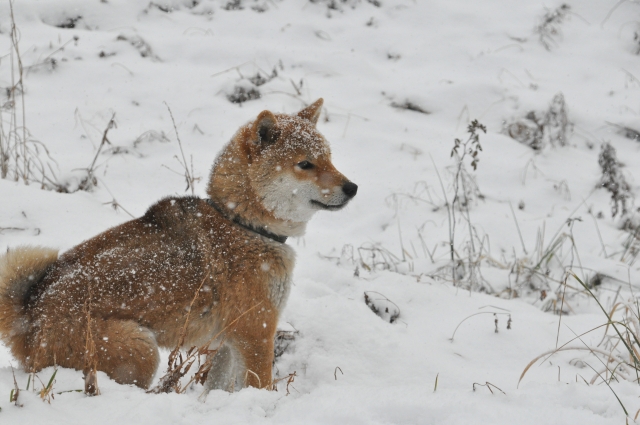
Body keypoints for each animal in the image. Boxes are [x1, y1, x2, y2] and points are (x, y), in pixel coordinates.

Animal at [0, 99, 356, 390]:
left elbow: (216, 389)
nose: (352, 187)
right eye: (305, 164)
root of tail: (29, 315)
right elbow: (262, 387)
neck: (241, 223)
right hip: (140, 350)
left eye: (329, 159)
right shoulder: (256, 332)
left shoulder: (226, 343)